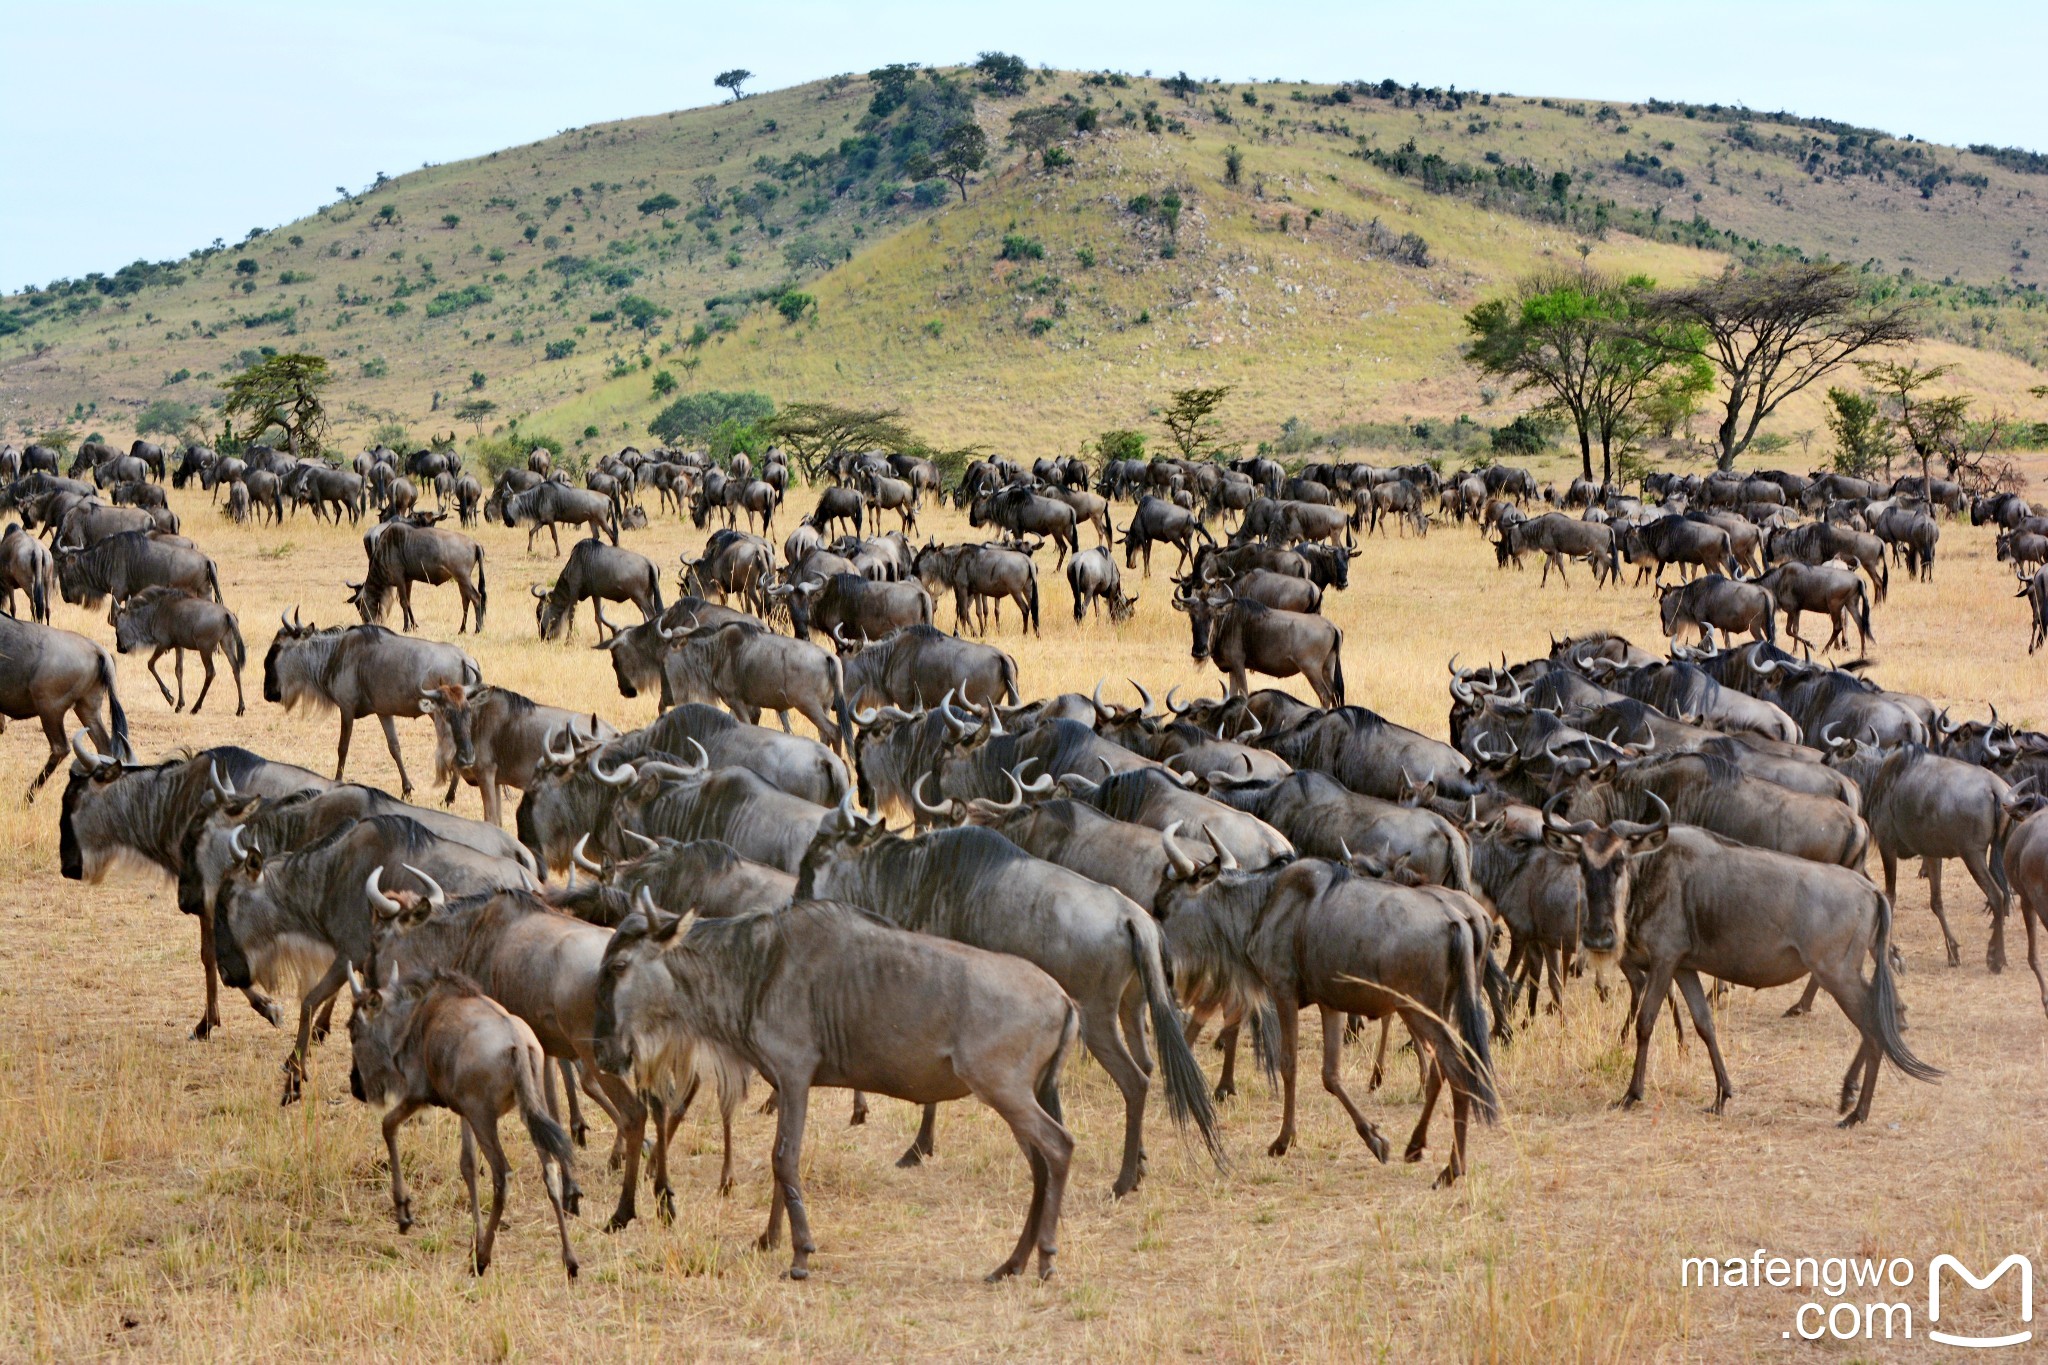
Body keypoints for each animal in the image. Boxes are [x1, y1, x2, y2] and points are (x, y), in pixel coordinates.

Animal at [115, 585, 248, 716]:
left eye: (117, 628)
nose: (119, 648)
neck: (155, 611)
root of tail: (227, 614)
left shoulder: (163, 644)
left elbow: (150, 664)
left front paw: (169, 698)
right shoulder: (179, 646)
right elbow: (179, 671)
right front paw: (179, 704)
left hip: (205, 649)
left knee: (210, 672)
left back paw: (196, 707)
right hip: (227, 645)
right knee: (235, 668)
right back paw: (240, 708)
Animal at [348, 961, 581, 1285]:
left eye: (352, 1031)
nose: (356, 1086)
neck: (413, 1018)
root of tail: (519, 1045)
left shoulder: (419, 1095)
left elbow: (388, 1125)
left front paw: (404, 1213)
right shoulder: (463, 1112)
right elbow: (468, 1165)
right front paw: (473, 1240)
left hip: (485, 1119)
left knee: (502, 1175)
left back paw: (482, 1260)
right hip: (529, 1112)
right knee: (550, 1171)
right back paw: (570, 1261)